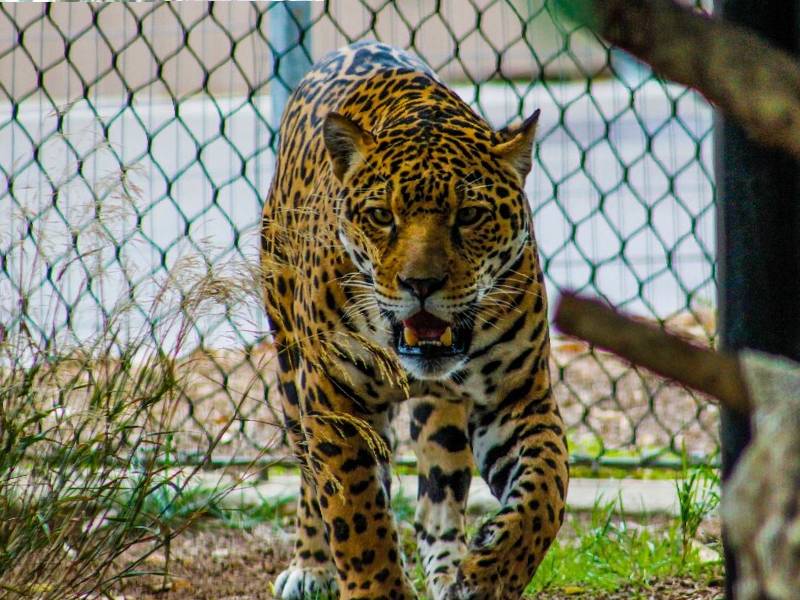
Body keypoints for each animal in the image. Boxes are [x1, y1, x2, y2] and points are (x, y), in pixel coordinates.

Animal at [261, 41, 568, 600]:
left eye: (469, 215)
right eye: (382, 216)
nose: (420, 285)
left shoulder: (517, 397)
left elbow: (547, 489)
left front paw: (492, 570)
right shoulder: (335, 400)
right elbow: (357, 515)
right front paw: (376, 587)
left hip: (441, 417)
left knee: (437, 500)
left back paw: (448, 573)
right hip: (292, 372)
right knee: (312, 479)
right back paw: (311, 567)